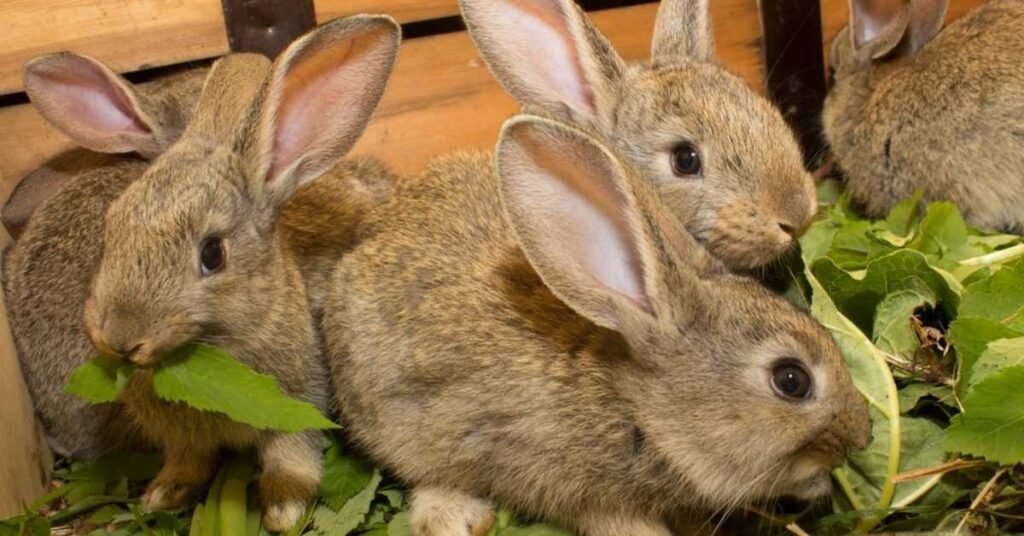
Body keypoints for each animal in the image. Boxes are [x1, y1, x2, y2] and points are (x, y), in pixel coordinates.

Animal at [27, 15, 397, 530]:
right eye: (110, 226)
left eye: (213, 254)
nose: (120, 336)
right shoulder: (183, 437)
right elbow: (189, 460)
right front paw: (163, 495)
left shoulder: (299, 403)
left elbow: (291, 457)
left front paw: (284, 511)